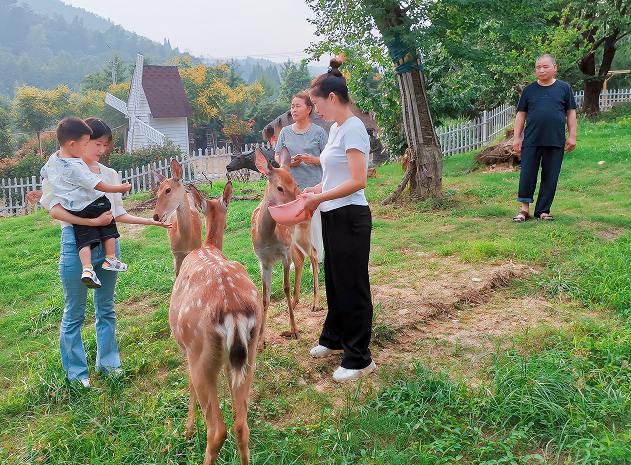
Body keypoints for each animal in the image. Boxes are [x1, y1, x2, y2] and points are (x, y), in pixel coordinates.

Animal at [169, 181, 262, 464]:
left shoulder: (187, 349)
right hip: (251, 350)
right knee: (241, 426)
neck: (208, 246)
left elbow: (188, 383)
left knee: (218, 430)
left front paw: (188, 430)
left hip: (200, 349)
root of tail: (233, 310)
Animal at [252, 147, 320, 346]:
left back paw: (315, 303)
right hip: (294, 243)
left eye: (295, 183)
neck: (268, 238)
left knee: (313, 255)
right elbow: (264, 297)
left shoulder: (284, 253)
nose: (300, 205)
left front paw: (295, 330)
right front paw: (260, 341)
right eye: (280, 187)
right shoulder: (263, 260)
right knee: (301, 259)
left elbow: (285, 287)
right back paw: (296, 303)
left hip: (302, 235)